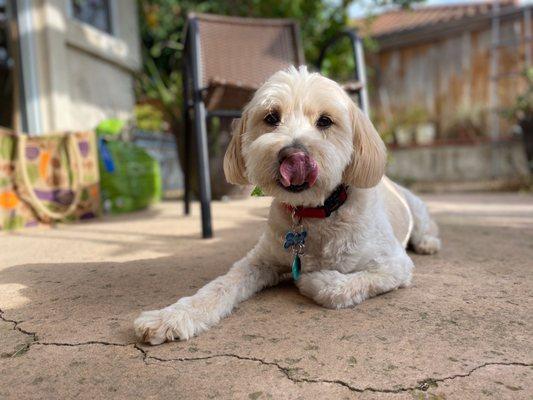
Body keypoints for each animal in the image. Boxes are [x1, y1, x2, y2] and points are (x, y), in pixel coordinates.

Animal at [134, 65, 440, 344]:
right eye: (271, 117)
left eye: (325, 121)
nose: (293, 155)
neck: (315, 213)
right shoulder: (259, 260)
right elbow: (218, 287)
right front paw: (171, 316)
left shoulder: (393, 265)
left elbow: (339, 286)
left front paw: (314, 280)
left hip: (415, 208)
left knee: (426, 226)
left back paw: (428, 242)